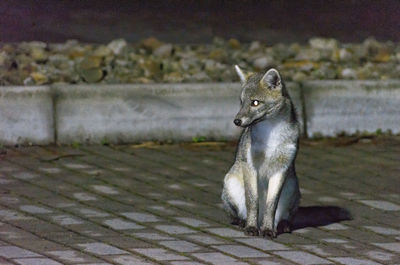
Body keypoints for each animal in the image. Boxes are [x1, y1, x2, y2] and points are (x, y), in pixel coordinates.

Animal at [220, 64, 302, 237]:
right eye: (241, 102)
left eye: (255, 103)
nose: (236, 121)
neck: (272, 137)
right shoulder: (250, 166)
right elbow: (252, 202)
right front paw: (251, 227)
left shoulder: (281, 169)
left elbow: (271, 206)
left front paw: (268, 229)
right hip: (230, 182)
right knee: (237, 214)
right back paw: (243, 222)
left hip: (292, 187)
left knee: (282, 216)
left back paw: (282, 225)